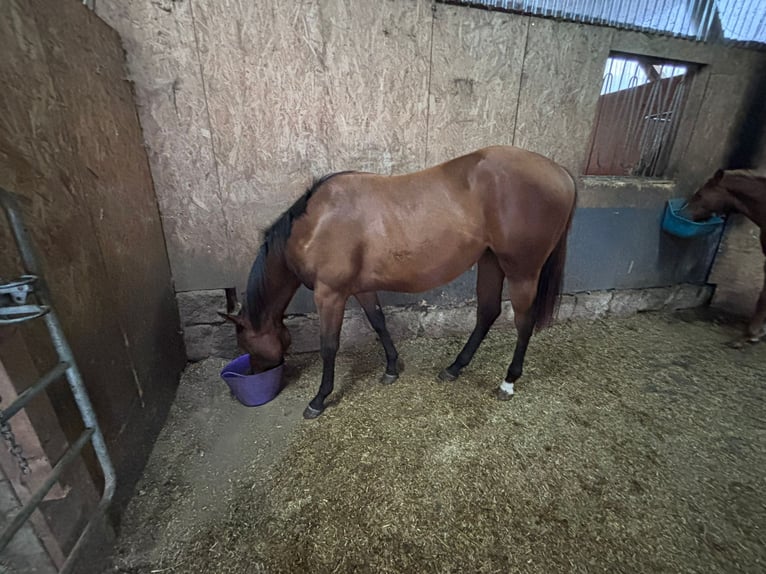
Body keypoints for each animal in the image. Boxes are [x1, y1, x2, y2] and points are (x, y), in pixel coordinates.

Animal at [221, 146, 577, 419]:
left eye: (246, 344)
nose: (254, 373)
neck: (315, 224)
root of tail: (561, 173)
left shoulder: (330, 294)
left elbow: (329, 346)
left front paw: (320, 398)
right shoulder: (361, 289)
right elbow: (379, 323)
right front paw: (392, 368)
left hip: (521, 271)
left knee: (524, 322)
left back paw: (508, 381)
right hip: (490, 262)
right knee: (487, 312)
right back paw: (454, 367)